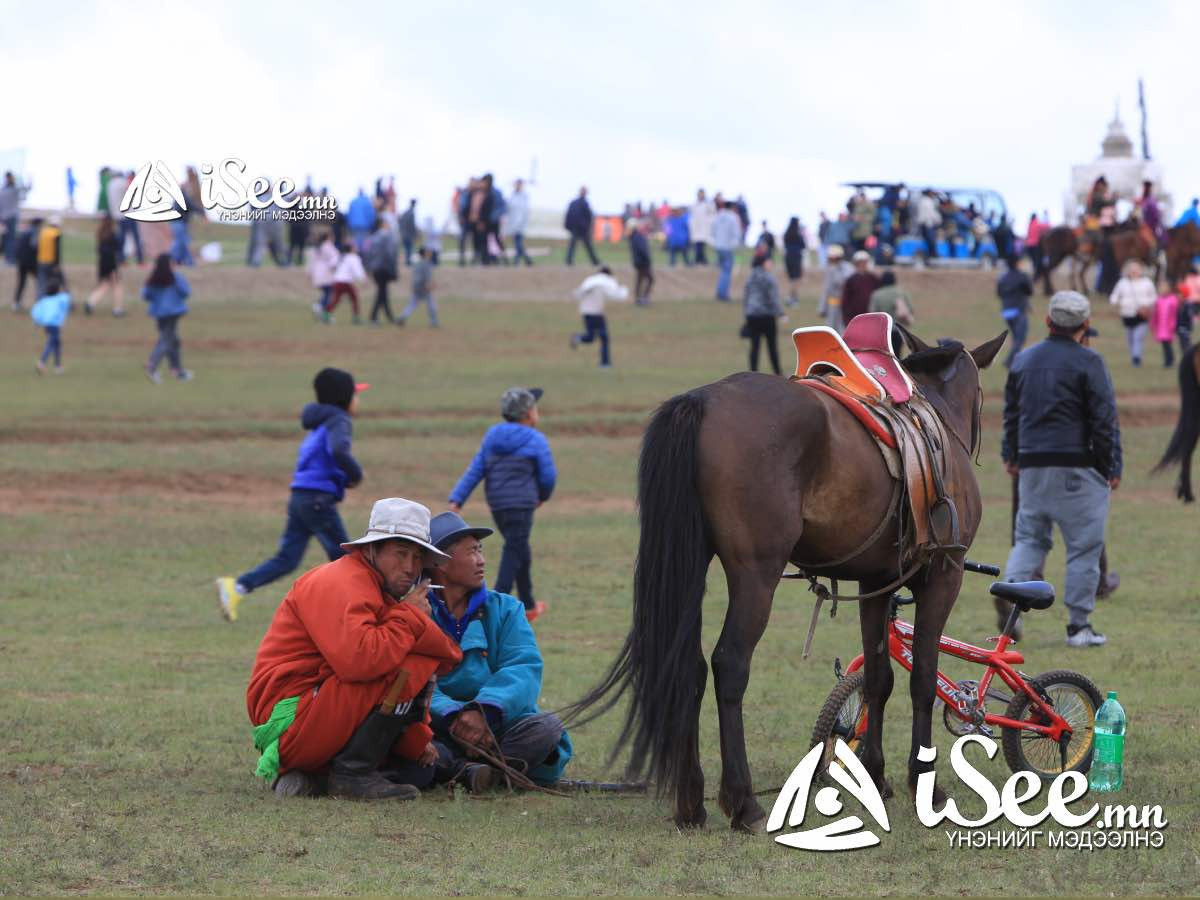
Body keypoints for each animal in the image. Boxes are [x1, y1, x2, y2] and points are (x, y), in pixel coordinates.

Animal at [566, 328, 1008, 830]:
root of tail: (703, 401)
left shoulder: (875, 584)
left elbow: (879, 678)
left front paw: (875, 775)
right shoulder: (943, 578)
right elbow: (923, 680)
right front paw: (925, 784)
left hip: (693, 565)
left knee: (690, 667)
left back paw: (692, 803)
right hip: (757, 574)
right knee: (729, 665)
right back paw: (744, 802)